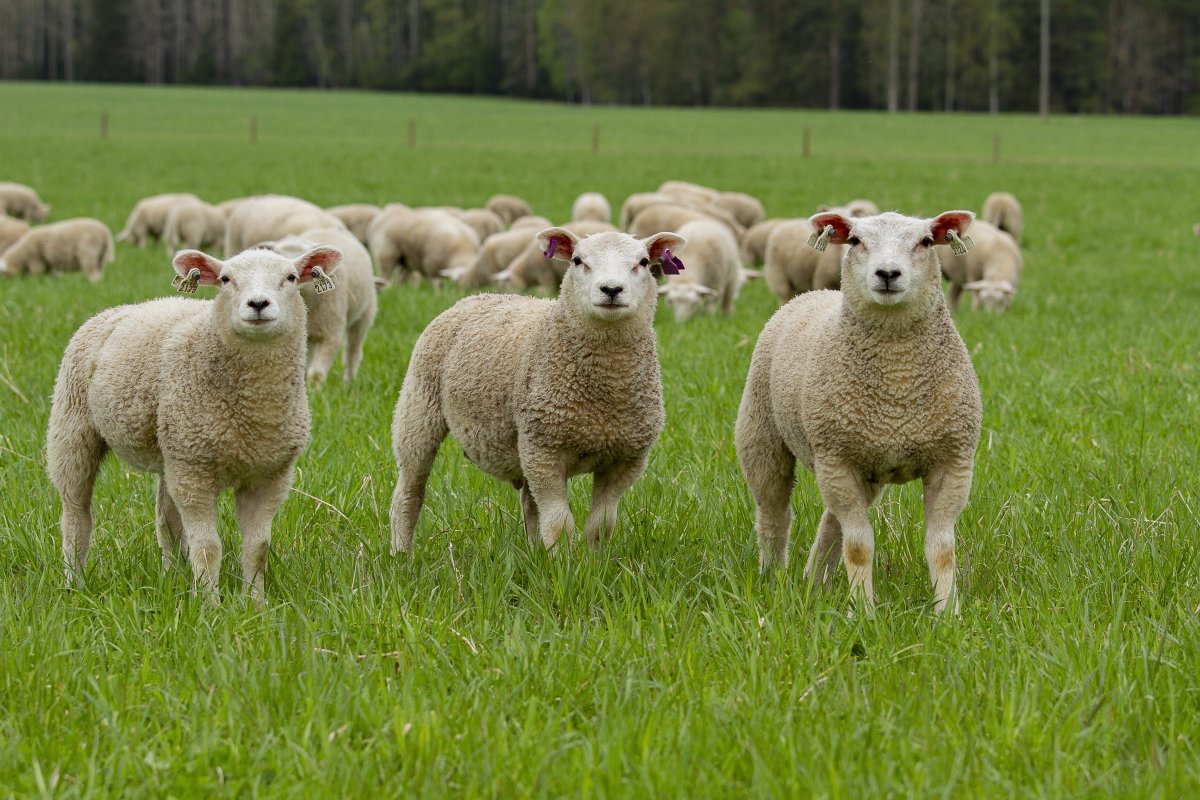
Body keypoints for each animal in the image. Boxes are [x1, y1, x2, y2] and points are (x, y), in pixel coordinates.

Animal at [46, 247, 338, 604]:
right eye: (225, 279)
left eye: (291, 278)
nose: (258, 304)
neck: (254, 409)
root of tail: (118, 309)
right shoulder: (194, 472)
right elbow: (208, 548)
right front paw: (210, 604)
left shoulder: (270, 475)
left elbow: (258, 547)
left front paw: (255, 603)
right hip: (73, 428)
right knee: (75, 515)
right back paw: (75, 582)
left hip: (171, 451)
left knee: (166, 520)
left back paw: (172, 576)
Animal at [260, 225, 376, 388]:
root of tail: (331, 229)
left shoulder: (331, 333)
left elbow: (316, 374)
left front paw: (317, 390)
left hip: (364, 314)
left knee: (352, 351)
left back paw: (348, 383)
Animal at [386, 221, 686, 554]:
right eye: (578, 261)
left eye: (643, 262)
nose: (611, 290)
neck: (606, 393)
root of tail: (477, 296)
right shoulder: (545, 453)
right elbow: (559, 525)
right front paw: (565, 563)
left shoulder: (625, 460)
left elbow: (601, 525)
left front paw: (595, 560)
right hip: (418, 409)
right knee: (409, 494)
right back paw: (401, 554)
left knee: (530, 504)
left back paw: (533, 553)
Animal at [729, 208, 984, 614]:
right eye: (855, 241)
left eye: (926, 242)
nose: (888, 274)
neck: (899, 381)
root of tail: (815, 293)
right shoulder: (838, 460)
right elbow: (860, 545)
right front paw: (864, 611)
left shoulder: (953, 462)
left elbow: (942, 548)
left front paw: (947, 611)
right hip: (763, 435)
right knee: (774, 515)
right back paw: (772, 576)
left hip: (859, 461)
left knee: (832, 521)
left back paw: (815, 579)